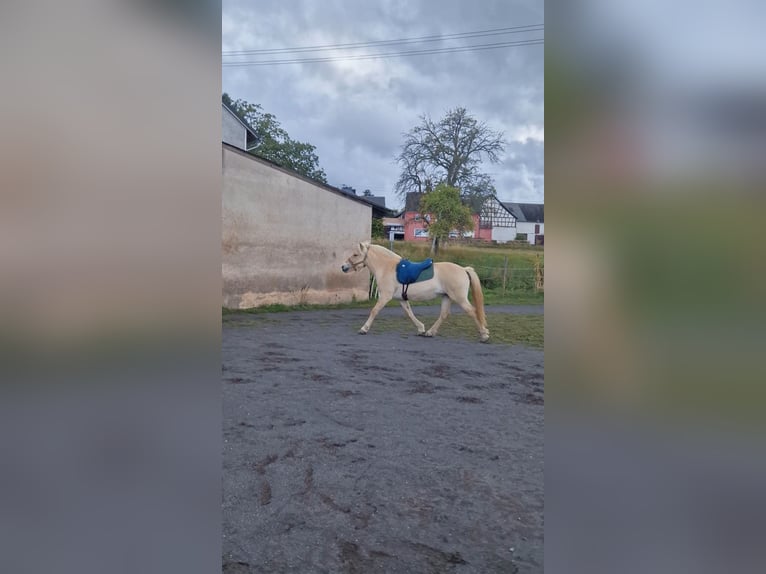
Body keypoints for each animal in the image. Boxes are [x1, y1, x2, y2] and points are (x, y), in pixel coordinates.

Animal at [341, 241, 490, 342]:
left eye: (355, 254)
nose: (343, 267)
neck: (387, 267)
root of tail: (464, 269)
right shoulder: (401, 299)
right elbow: (409, 313)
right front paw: (421, 329)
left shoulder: (385, 297)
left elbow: (374, 311)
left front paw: (364, 329)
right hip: (446, 297)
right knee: (444, 314)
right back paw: (430, 332)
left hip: (459, 298)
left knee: (472, 311)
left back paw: (484, 334)